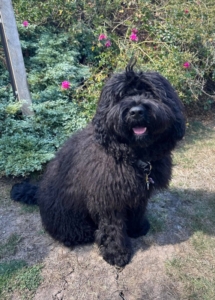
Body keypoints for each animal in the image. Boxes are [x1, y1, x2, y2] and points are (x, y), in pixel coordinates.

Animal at [10, 61, 185, 268]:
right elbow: (112, 229)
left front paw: (137, 228)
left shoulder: (138, 193)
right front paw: (117, 254)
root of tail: (38, 192)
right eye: (121, 96)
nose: (136, 111)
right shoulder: (108, 201)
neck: (132, 155)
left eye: (149, 92)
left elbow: (138, 210)